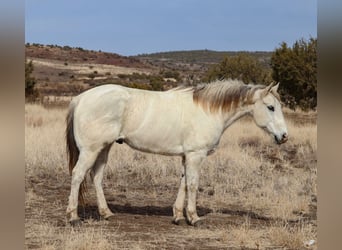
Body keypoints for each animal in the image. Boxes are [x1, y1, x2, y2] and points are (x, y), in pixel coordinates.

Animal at [65, 79, 288, 227]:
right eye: (271, 107)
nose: (284, 136)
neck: (208, 111)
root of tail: (80, 98)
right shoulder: (196, 155)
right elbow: (193, 184)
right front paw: (194, 218)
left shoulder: (186, 156)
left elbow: (183, 183)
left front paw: (178, 216)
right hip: (91, 150)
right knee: (77, 175)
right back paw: (73, 216)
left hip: (104, 147)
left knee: (96, 177)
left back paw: (106, 213)